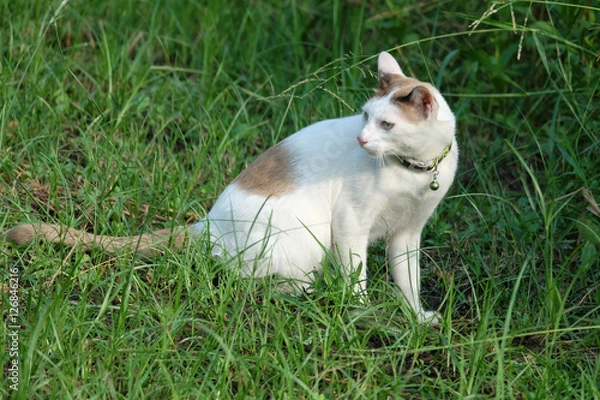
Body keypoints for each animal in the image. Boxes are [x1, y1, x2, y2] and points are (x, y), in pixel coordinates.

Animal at [4, 52, 458, 322]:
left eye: (387, 125)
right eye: (364, 116)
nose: (361, 140)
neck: (415, 173)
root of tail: (207, 223)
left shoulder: (408, 232)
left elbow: (409, 279)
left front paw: (418, 319)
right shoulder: (351, 221)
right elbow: (357, 275)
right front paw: (361, 314)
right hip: (306, 241)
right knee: (257, 283)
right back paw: (308, 298)